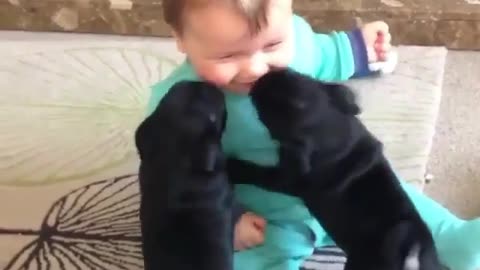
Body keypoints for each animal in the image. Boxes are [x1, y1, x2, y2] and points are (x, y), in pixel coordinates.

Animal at [228, 68, 442, 268]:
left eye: (264, 109)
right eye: (297, 74)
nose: (263, 77)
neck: (334, 132)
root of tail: (412, 252)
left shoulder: (287, 177)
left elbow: (258, 174)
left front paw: (234, 166)